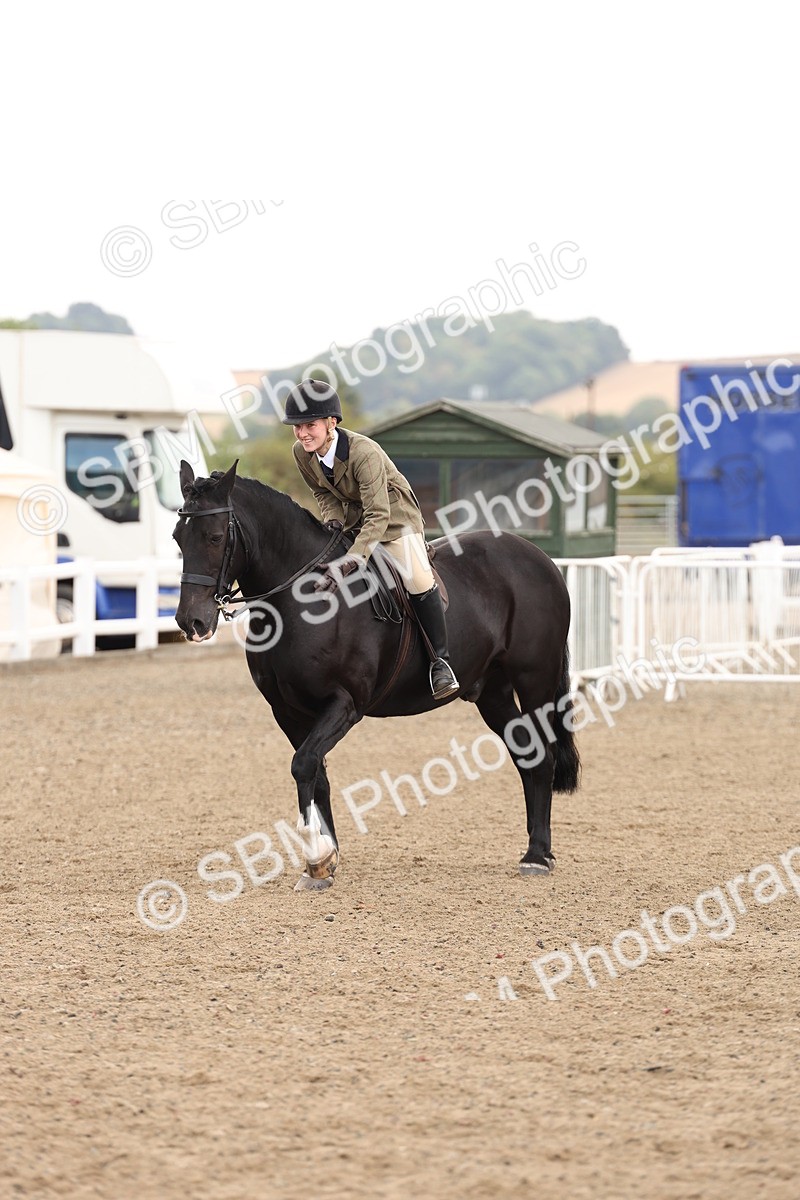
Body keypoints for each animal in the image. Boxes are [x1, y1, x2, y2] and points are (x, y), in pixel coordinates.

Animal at [173, 459, 580, 889]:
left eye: (215, 537)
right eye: (178, 538)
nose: (190, 621)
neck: (304, 599)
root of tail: (541, 559)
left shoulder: (345, 703)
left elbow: (304, 764)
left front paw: (317, 856)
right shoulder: (287, 711)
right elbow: (316, 773)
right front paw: (324, 864)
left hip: (534, 679)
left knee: (543, 756)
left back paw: (538, 855)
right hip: (492, 692)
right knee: (525, 753)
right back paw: (536, 848)